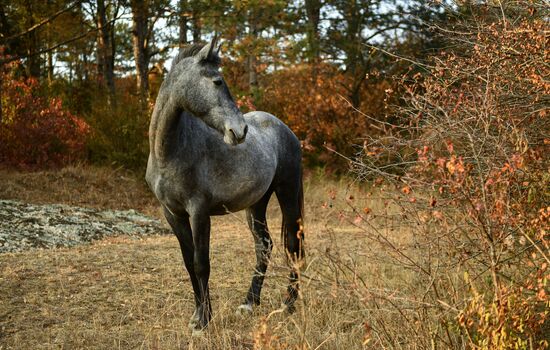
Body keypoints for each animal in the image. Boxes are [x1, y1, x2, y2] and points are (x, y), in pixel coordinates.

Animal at [144, 34, 304, 334]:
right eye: (217, 81)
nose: (239, 131)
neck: (169, 151)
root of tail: (284, 128)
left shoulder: (199, 212)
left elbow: (201, 264)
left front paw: (204, 322)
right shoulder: (172, 214)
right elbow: (188, 262)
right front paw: (197, 315)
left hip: (288, 193)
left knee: (292, 247)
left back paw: (288, 305)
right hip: (256, 204)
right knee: (264, 246)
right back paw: (249, 303)